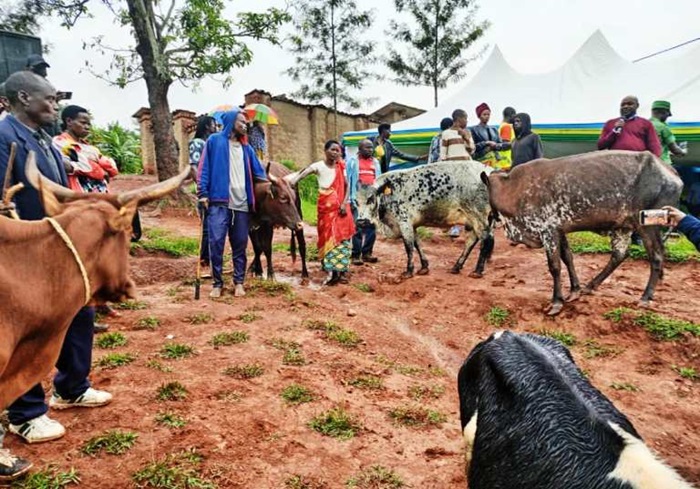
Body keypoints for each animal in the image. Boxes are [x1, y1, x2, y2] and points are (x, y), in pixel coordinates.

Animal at [358, 162, 494, 278]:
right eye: (355, 201)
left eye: (371, 199)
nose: (361, 221)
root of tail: (490, 171)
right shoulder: (412, 225)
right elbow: (417, 244)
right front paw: (424, 267)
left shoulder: (404, 222)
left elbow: (409, 247)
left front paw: (409, 271)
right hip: (475, 220)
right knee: (472, 241)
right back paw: (456, 267)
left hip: (479, 217)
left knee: (486, 240)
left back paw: (477, 271)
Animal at [482, 151, 684, 314]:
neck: (513, 189)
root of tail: (672, 172)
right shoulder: (559, 230)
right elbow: (568, 258)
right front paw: (575, 290)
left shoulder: (548, 231)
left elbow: (555, 266)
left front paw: (556, 302)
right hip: (623, 227)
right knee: (619, 255)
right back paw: (591, 286)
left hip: (647, 224)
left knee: (656, 256)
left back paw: (645, 297)